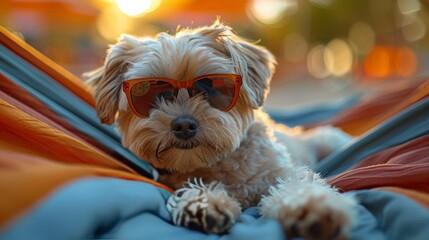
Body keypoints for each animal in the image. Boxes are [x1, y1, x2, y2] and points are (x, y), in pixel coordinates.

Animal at [85, 21, 356, 240]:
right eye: (154, 92)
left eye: (209, 85)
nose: (184, 125)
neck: (218, 163)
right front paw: (203, 204)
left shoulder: (280, 171)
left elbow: (296, 184)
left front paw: (311, 209)